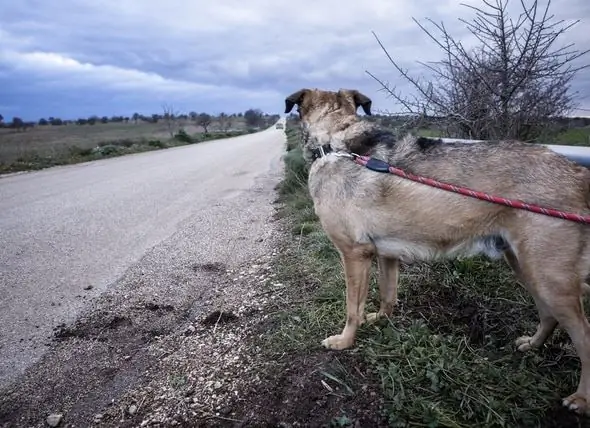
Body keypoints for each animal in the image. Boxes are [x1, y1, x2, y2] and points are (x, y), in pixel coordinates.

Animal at [286, 86, 590, 414]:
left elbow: (352, 308)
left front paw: (345, 341)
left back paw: (582, 399)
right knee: (549, 315)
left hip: (550, 278)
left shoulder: (354, 254)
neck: (335, 140)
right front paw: (381, 319)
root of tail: (578, 173)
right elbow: (388, 296)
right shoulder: (385, 255)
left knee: (584, 336)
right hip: (527, 267)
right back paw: (533, 345)